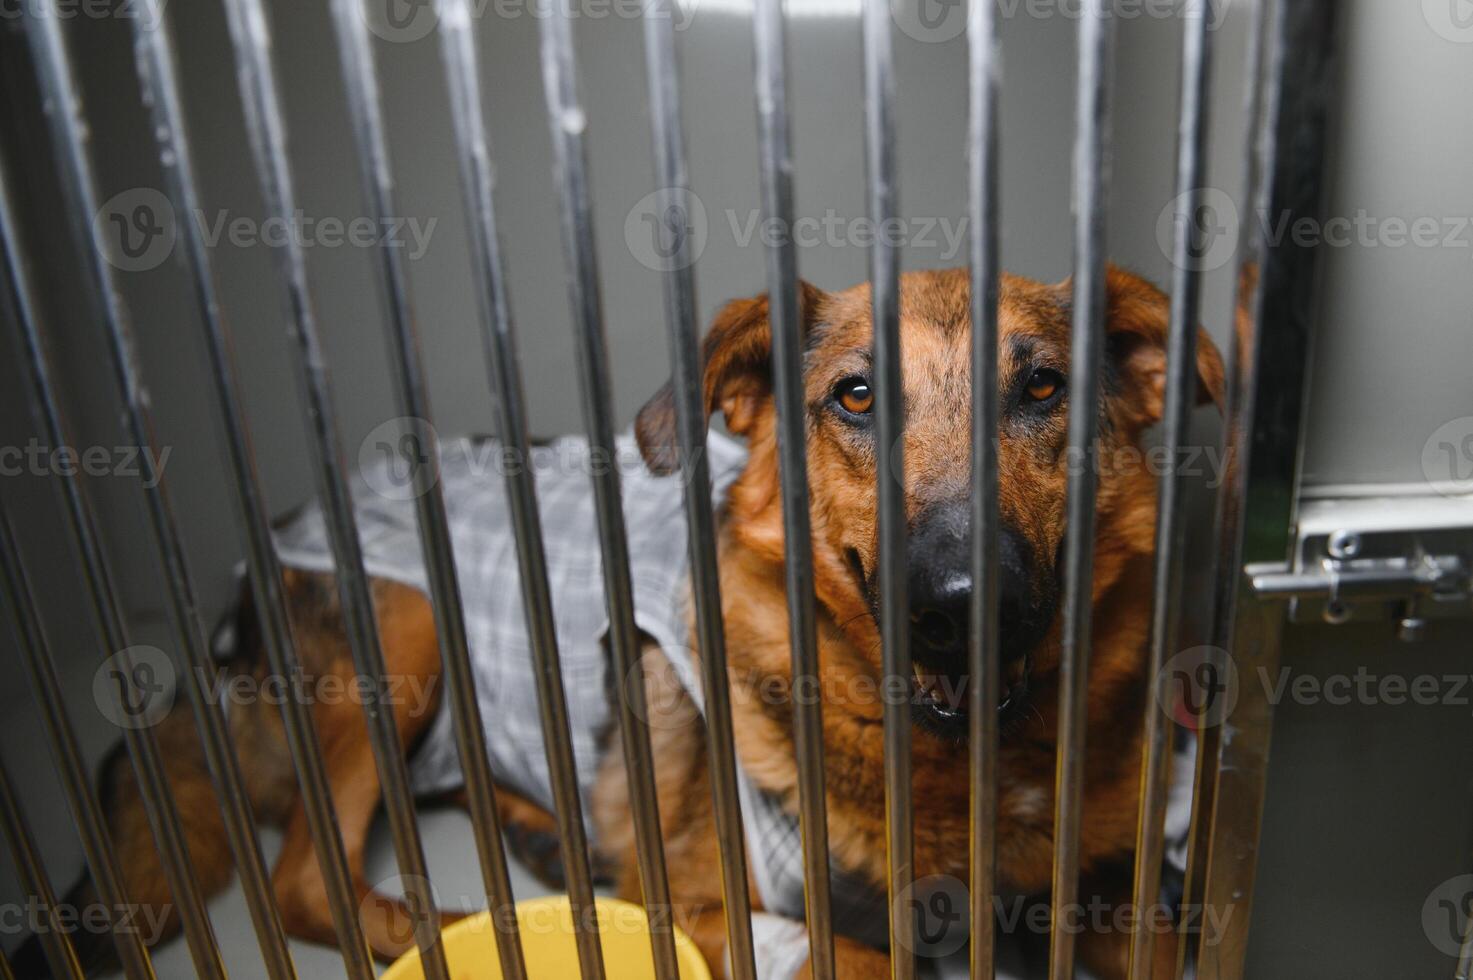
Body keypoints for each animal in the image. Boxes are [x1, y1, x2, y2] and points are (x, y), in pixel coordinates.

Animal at [20, 263, 1219, 972]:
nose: (964, 606)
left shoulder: (1126, 892)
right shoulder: (718, 903)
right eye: (857, 396)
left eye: (1044, 388)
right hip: (406, 624)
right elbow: (848, 948)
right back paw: (447, 927)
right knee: (305, 877)